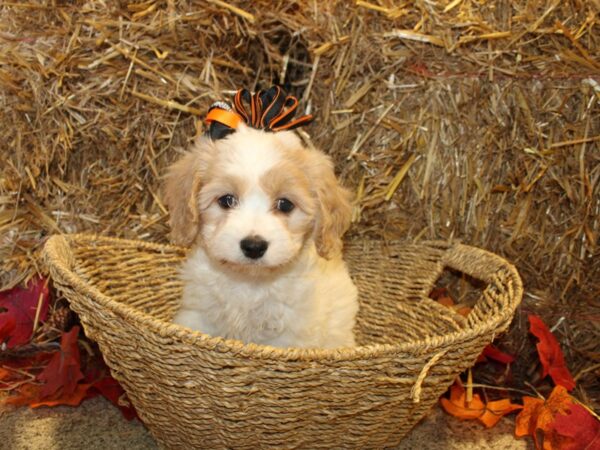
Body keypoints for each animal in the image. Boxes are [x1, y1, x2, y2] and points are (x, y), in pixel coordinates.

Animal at [163, 125, 356, 350]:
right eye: (226, 200)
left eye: (285, 204)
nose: (254, 246)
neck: (250, 282)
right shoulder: (197, 314)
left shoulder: (289, 336)